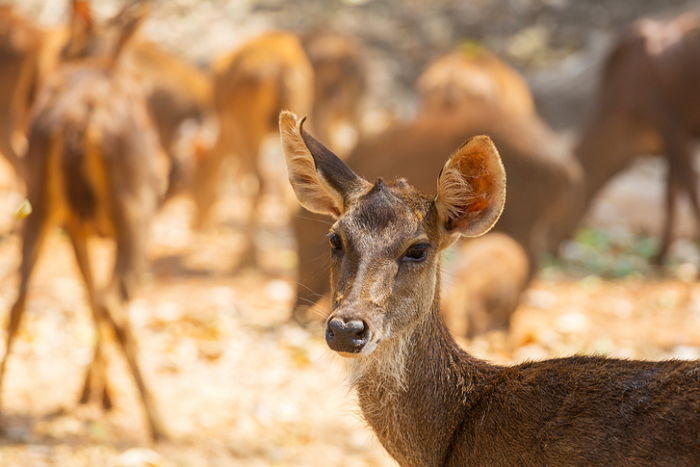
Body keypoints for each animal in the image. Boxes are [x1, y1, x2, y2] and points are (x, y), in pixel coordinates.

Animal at [0, 1, 168, 442]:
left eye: (65, 48)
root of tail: (81, 118)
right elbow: (100, 297)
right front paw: (98, 396)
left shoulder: (75, 227)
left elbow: (89, 296)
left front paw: (93, 393)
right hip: (136, 208)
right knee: (117, 299)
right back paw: (159, 422)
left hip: (40, 198)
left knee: (20, 297)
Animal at [190, 31, 314, 266]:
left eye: (197, 187)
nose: (196, 225)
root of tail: (282, 72)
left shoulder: (233, 128)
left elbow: (239, 177)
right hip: (299, 113)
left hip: (250, 125)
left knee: (262, 181)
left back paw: (248, 255)